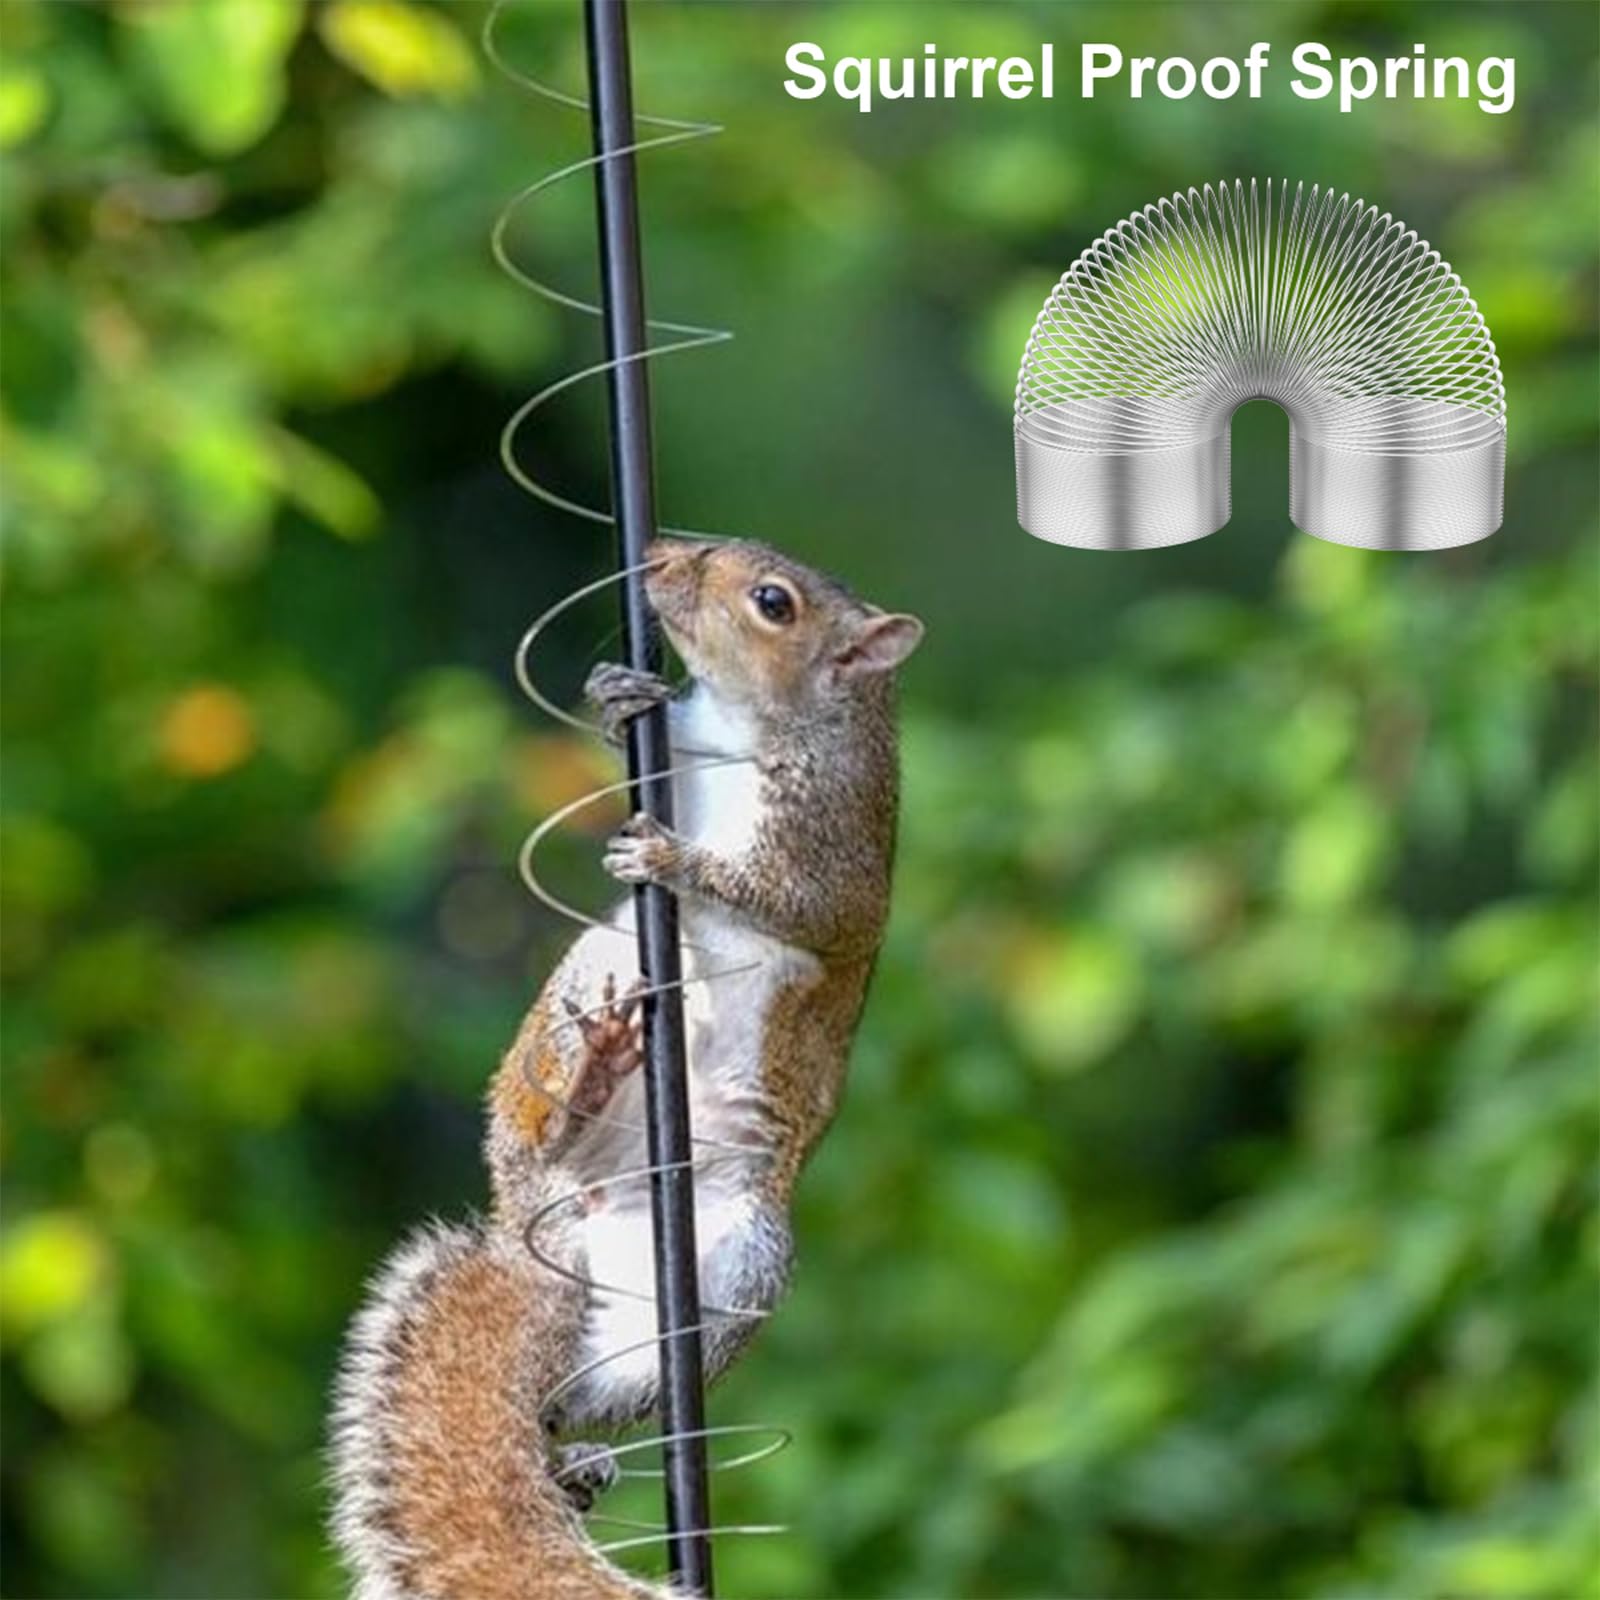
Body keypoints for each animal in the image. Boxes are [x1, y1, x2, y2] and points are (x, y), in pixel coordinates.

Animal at [329, 536, 924, 1599]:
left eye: (774, 602)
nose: (660, 555)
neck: (744, 720)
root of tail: (547, 1217)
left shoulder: (834, 843)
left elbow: (791, 902)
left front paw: (679, 862)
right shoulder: (679, 751)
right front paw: (612, 699)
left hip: (730, 1271)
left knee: (579, 1395)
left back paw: (572, 1461)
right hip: (598, 971)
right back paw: (594, 1077)